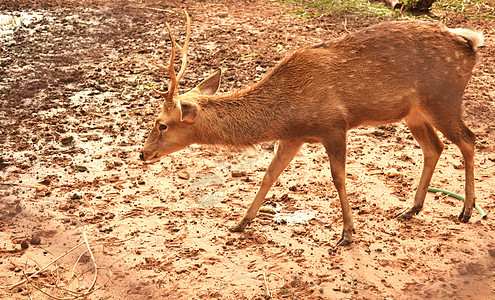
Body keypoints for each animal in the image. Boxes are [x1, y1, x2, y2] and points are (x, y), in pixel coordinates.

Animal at [140, 11, 484, 246]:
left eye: (162, 125)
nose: (143, 153)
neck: (286, 112)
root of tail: (470, 42)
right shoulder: (293, 137)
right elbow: (269, 175)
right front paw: (240, 222)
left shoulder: (334, 125)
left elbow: (338, 178)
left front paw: (347, 233)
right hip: (414, 112)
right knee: (435, 147)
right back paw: (411, 208)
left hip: (443, 98)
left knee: (468, 139)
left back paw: (466, 210)